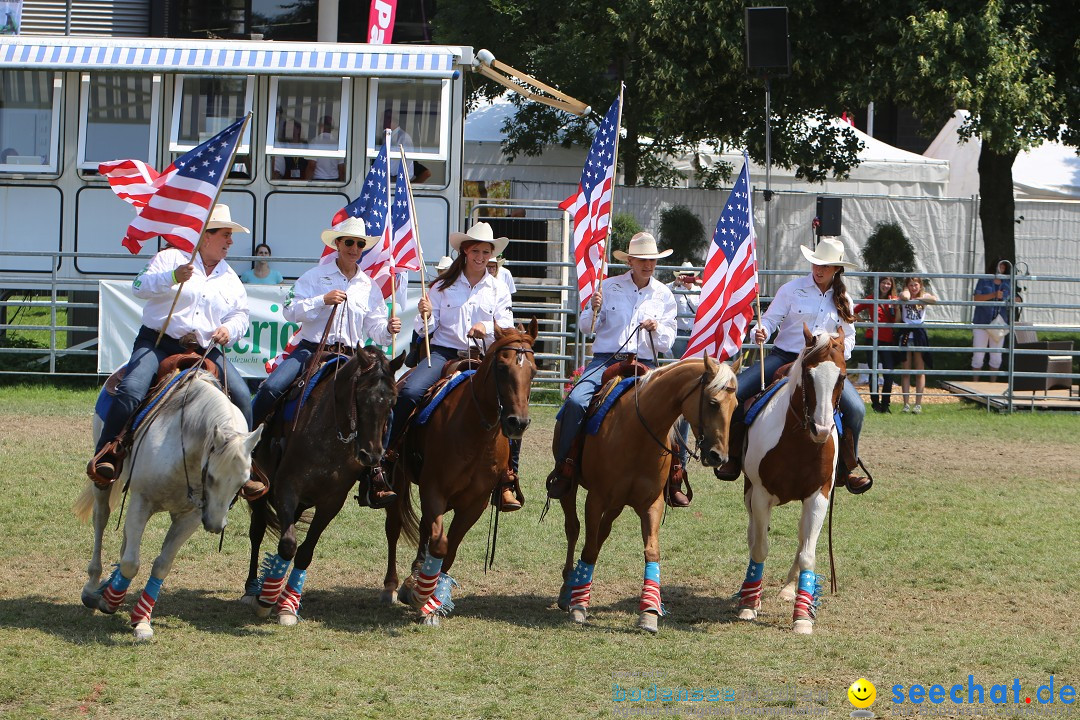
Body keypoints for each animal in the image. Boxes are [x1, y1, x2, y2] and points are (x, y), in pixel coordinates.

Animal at [74, 371, 263, 643]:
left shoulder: (191, 517)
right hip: (103, 483)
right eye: (211, 476)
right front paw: (111, 602)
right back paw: (92, 588)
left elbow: (161, 565)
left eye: (243, 481)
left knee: (125, 539)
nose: (215, 525)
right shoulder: (142, 501)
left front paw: (141, 620)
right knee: (101, 520)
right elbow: (132, 563)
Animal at [240, 345, 401, 626]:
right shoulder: (286, 488)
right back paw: (252, 589)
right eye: (361, 396)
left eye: (392, 401)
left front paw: (287, 606)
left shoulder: (331, 502)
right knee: (257, 532)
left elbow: (304, 552)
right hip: (261, 493)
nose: (371, 456)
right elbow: (288, 545)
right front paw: (265, 601)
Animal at [388, 321, 540, 626]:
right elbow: (439, 543)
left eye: (533, 370)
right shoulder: (433, 489)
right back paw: (393, 586)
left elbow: (450, 548)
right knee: (394, 528)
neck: (475, 432)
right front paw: (420, 594)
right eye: (502, 367)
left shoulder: (475, 502)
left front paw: (433, 601)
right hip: (396, 483)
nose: (517, 423)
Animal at [552, 358, 738, 634]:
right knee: (573, 530)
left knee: (601, 533)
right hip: (571, 487)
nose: (719, 457)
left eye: (735, 406)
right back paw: (567, 591)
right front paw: (579, 606)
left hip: (617, 503)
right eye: (713, 402)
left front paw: (649, 613)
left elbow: (651, 551)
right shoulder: (595, 499)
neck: (636, 432)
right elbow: (589, 549)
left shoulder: (652, 503)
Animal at [738, 325, 846, 634]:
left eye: (842, 376)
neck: (799, 441)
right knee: (754, 535)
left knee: (800, 538)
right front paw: (749, 604)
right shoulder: (761, 494)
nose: (821, 429)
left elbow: (808, 552)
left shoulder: (818, 496)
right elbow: (760, 547)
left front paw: (802, 617)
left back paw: (789, 589)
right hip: (750, 493)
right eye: (809, 374)